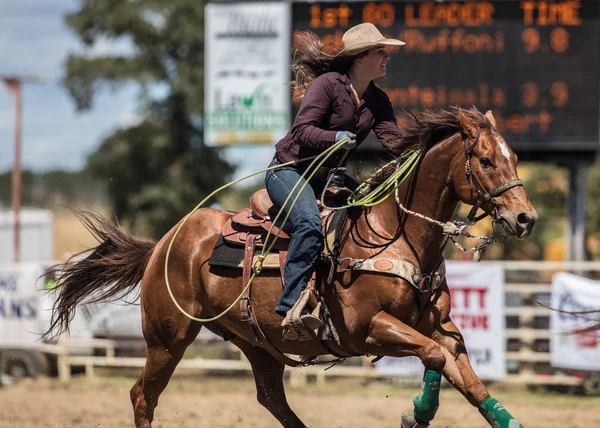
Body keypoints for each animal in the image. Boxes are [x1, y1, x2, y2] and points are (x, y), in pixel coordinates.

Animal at [45, 108, 536, 428]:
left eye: (515, 158)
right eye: (486, 161)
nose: (525, 218)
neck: (395, 235)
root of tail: (164, 243)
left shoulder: (439, 327)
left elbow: (467, 379)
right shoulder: (367, 329)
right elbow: (432, 356)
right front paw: (415, 416)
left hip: (258, 344)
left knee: (271, 400)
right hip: (167, 338)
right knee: (142, 396)